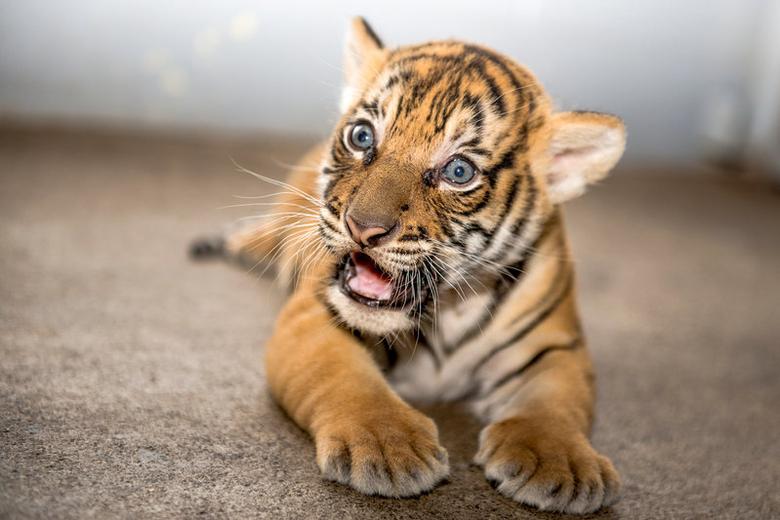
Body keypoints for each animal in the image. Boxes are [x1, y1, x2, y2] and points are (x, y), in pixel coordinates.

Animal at [191, 17, 626, 514]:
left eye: (459, 172)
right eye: (362, 137)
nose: (362, 228)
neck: (452, 307)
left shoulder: (556, 347)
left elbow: (556, 405)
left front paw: (562, 465)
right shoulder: (314, 318)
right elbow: (346, 379)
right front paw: (388, 447)